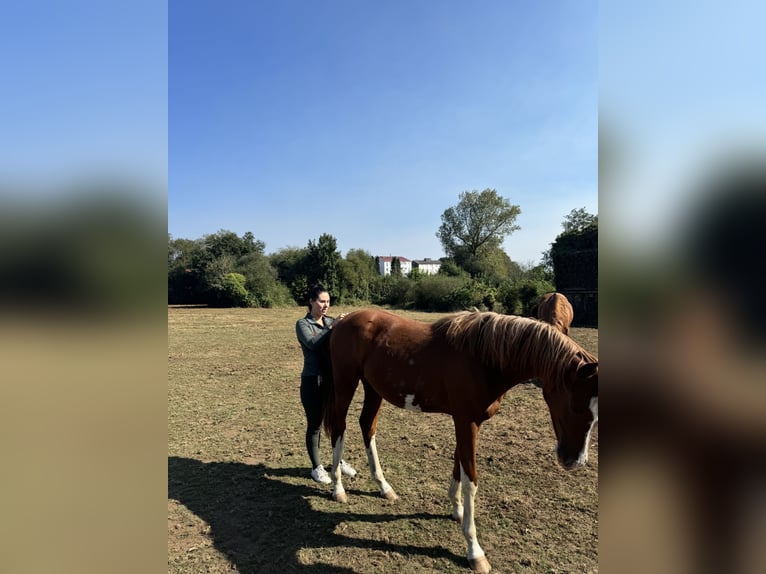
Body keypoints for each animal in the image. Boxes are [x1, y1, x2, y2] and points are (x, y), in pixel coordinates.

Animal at [319, 308, 598, 573]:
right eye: (575, 407)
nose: (574, 460)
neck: (483, 360)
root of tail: (342, 320)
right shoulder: (466, 422)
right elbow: (471, 480)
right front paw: (475, 551)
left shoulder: (467, 423)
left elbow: (458, 466)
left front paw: (458, 510)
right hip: (346, 383)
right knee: (340, 428)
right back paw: (338, 488)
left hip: (373, 389)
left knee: (367, 426)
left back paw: (384, 486)